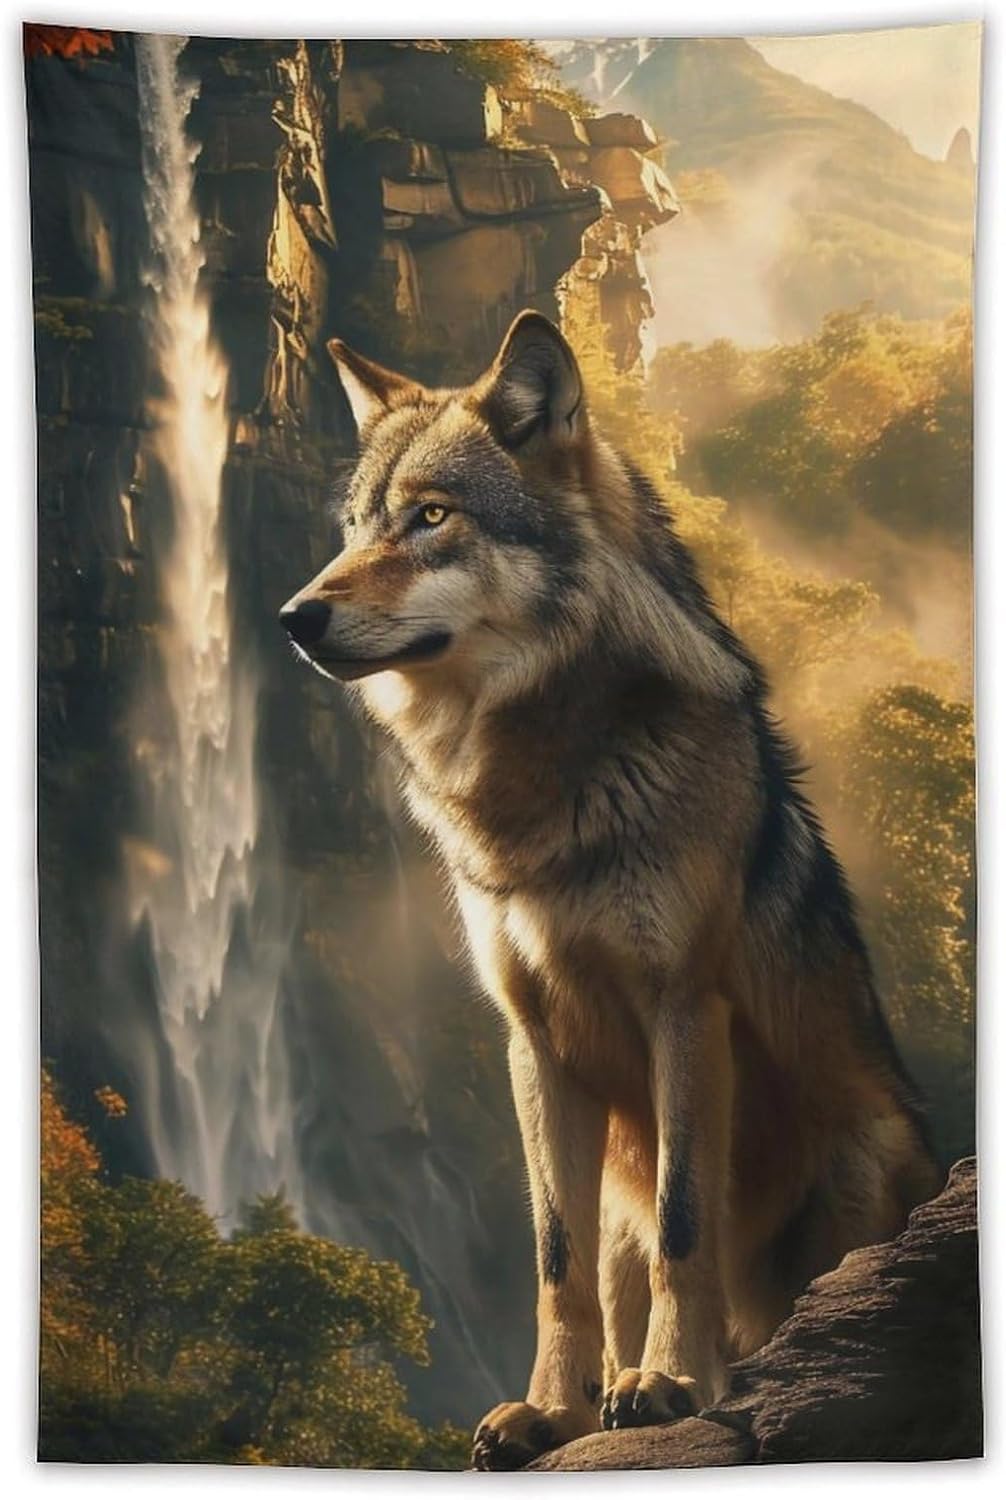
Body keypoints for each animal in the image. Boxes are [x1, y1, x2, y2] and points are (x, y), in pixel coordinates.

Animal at [280, 311, 940, 1470]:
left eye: (432, 517)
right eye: (357, 527)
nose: (292, 616)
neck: (544, 785)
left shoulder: (685, 1008)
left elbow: (687, 1220)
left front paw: (667, 1383)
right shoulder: (535, 1037)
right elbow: (556, 1256)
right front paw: (554, 1410)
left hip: (863, 1158)